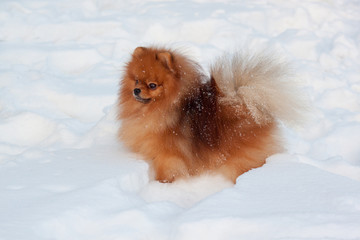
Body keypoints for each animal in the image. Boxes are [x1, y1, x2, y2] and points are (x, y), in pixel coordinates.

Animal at [118, 46, 304, 183]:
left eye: (152, 85)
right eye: (136, 80)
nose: (136, 90)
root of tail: (246, 101)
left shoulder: (169, 155)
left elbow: (167, 171)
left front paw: (161, 185)